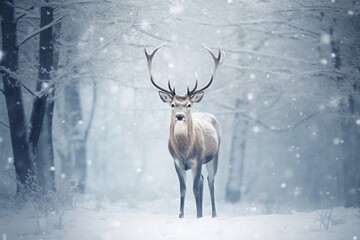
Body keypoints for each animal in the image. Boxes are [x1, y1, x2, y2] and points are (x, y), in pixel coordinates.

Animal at [145, 43, 224, 218]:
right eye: (173, 104)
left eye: (188, 105)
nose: (180, 116)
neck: (184, 151)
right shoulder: (177, 162)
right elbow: (183, 190)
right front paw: (181, 216)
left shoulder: (198, 159)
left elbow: (194, 189)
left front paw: (199, 216)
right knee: (202, 180)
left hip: (214, 155)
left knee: (210, 181)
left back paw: (214, 215)